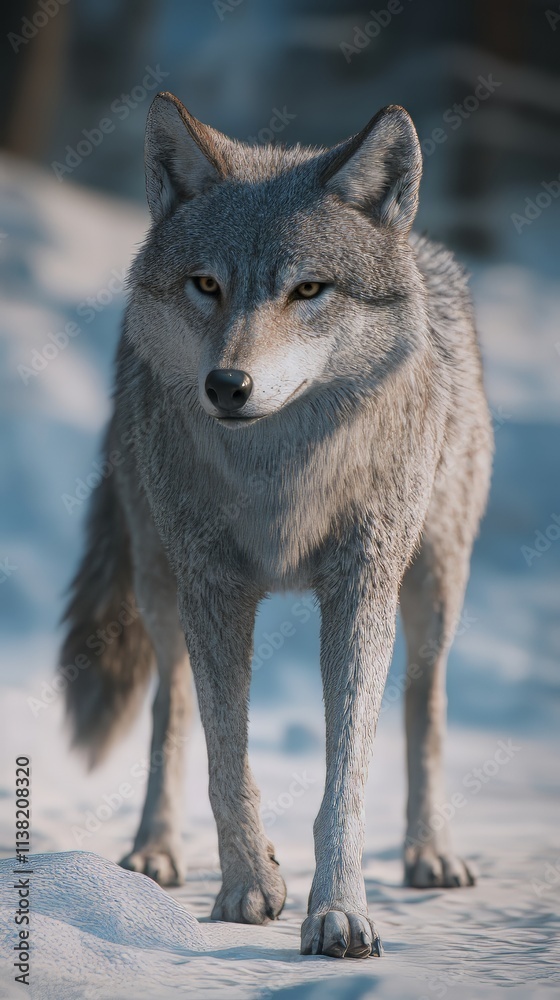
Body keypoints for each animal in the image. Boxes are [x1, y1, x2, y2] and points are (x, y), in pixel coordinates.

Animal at [60, 92, 492, 959]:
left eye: (308, 290)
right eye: (206, 285)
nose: (227, 384)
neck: (280, 475)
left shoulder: (360, 590)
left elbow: (346, 777)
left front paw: (340, 913)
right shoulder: (213, 589)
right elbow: (228, 758)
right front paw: (247, 887)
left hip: (435, 586)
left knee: (426, 710)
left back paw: (431, 852)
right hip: (159, 585)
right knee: (170, 709)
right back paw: (155, 849)